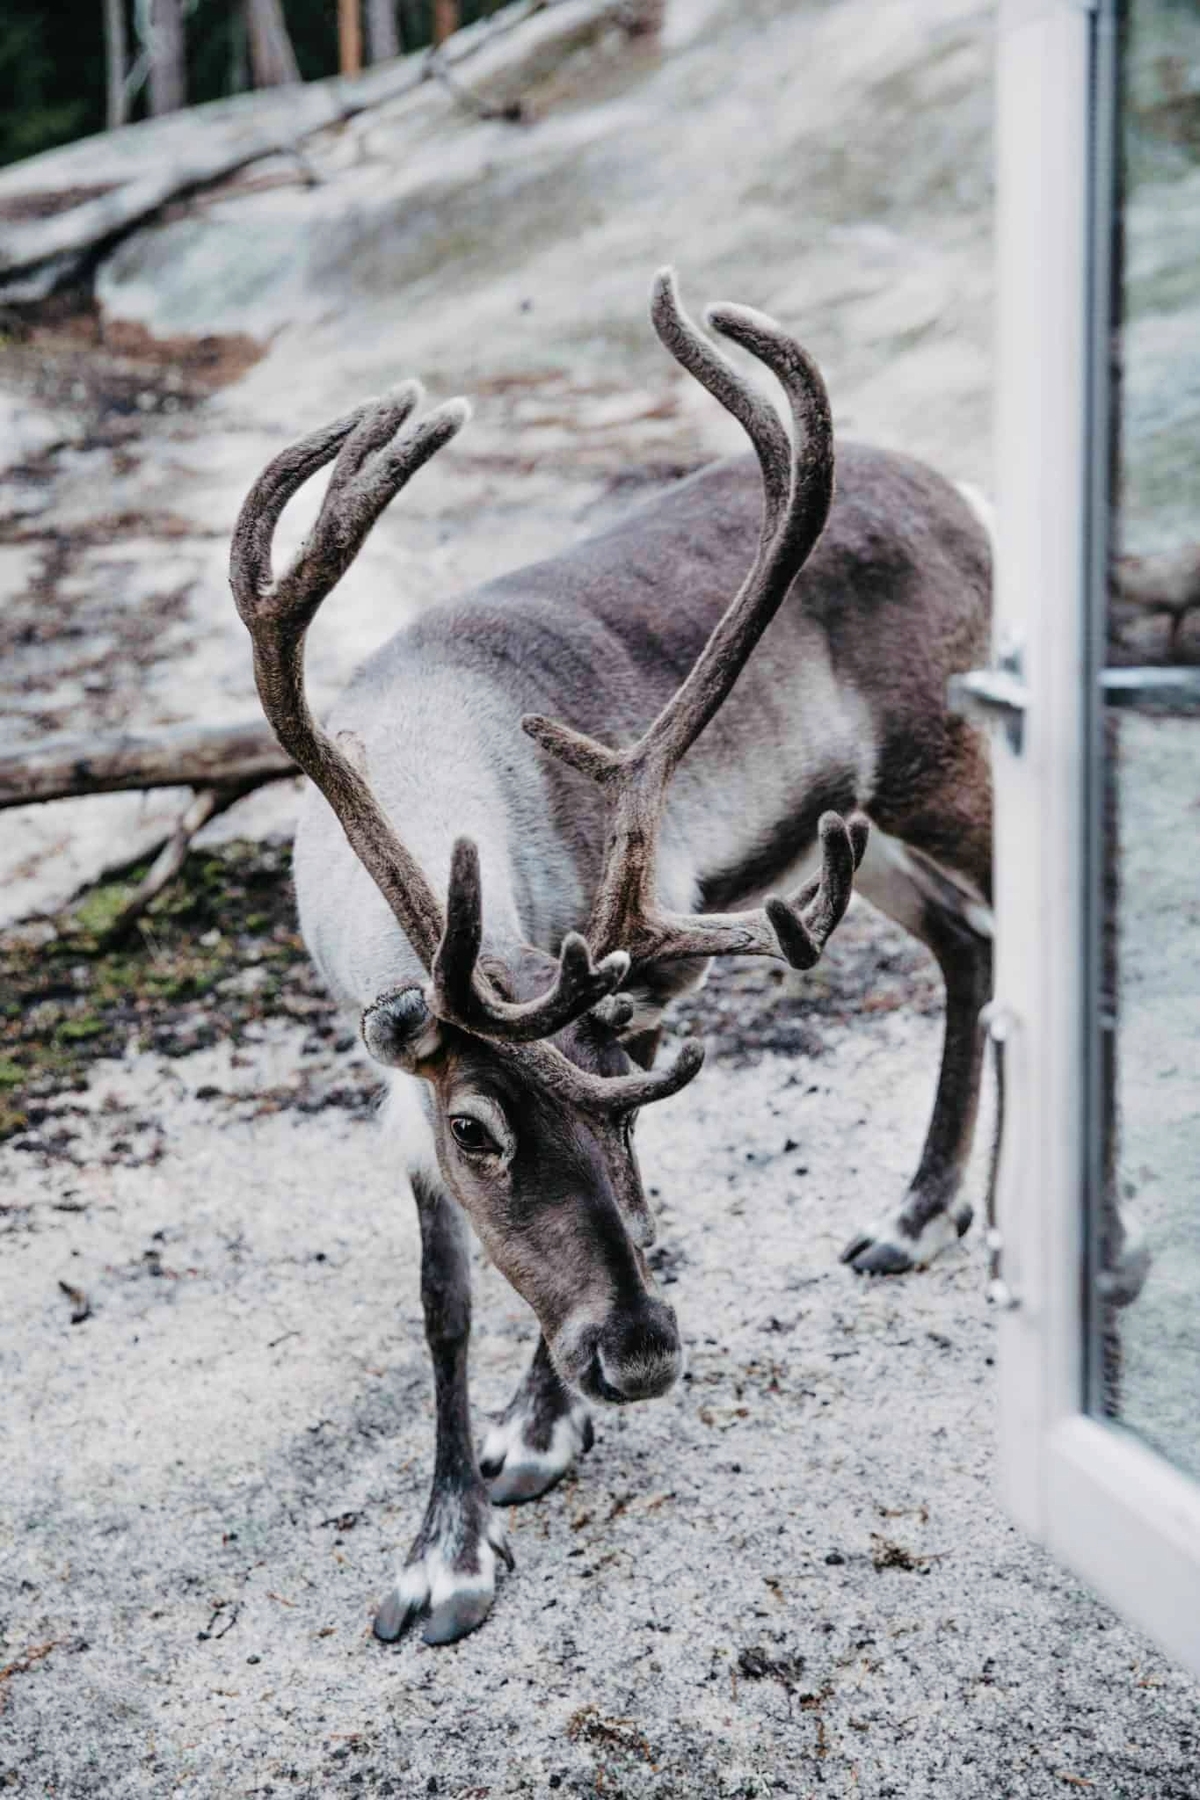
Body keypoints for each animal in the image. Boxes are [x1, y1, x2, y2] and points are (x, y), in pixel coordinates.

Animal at [229, 270, 993, 1645]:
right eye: (476, 1129)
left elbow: (604, 1228)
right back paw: (917, 1215)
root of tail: (966, 493)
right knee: (968, 942)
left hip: (948, 761)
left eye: (633, 1113)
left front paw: (535, 1434)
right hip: (850, 833)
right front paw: (446, 1547)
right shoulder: (402, 1082)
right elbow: (445, 1299)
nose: (639, 1356)